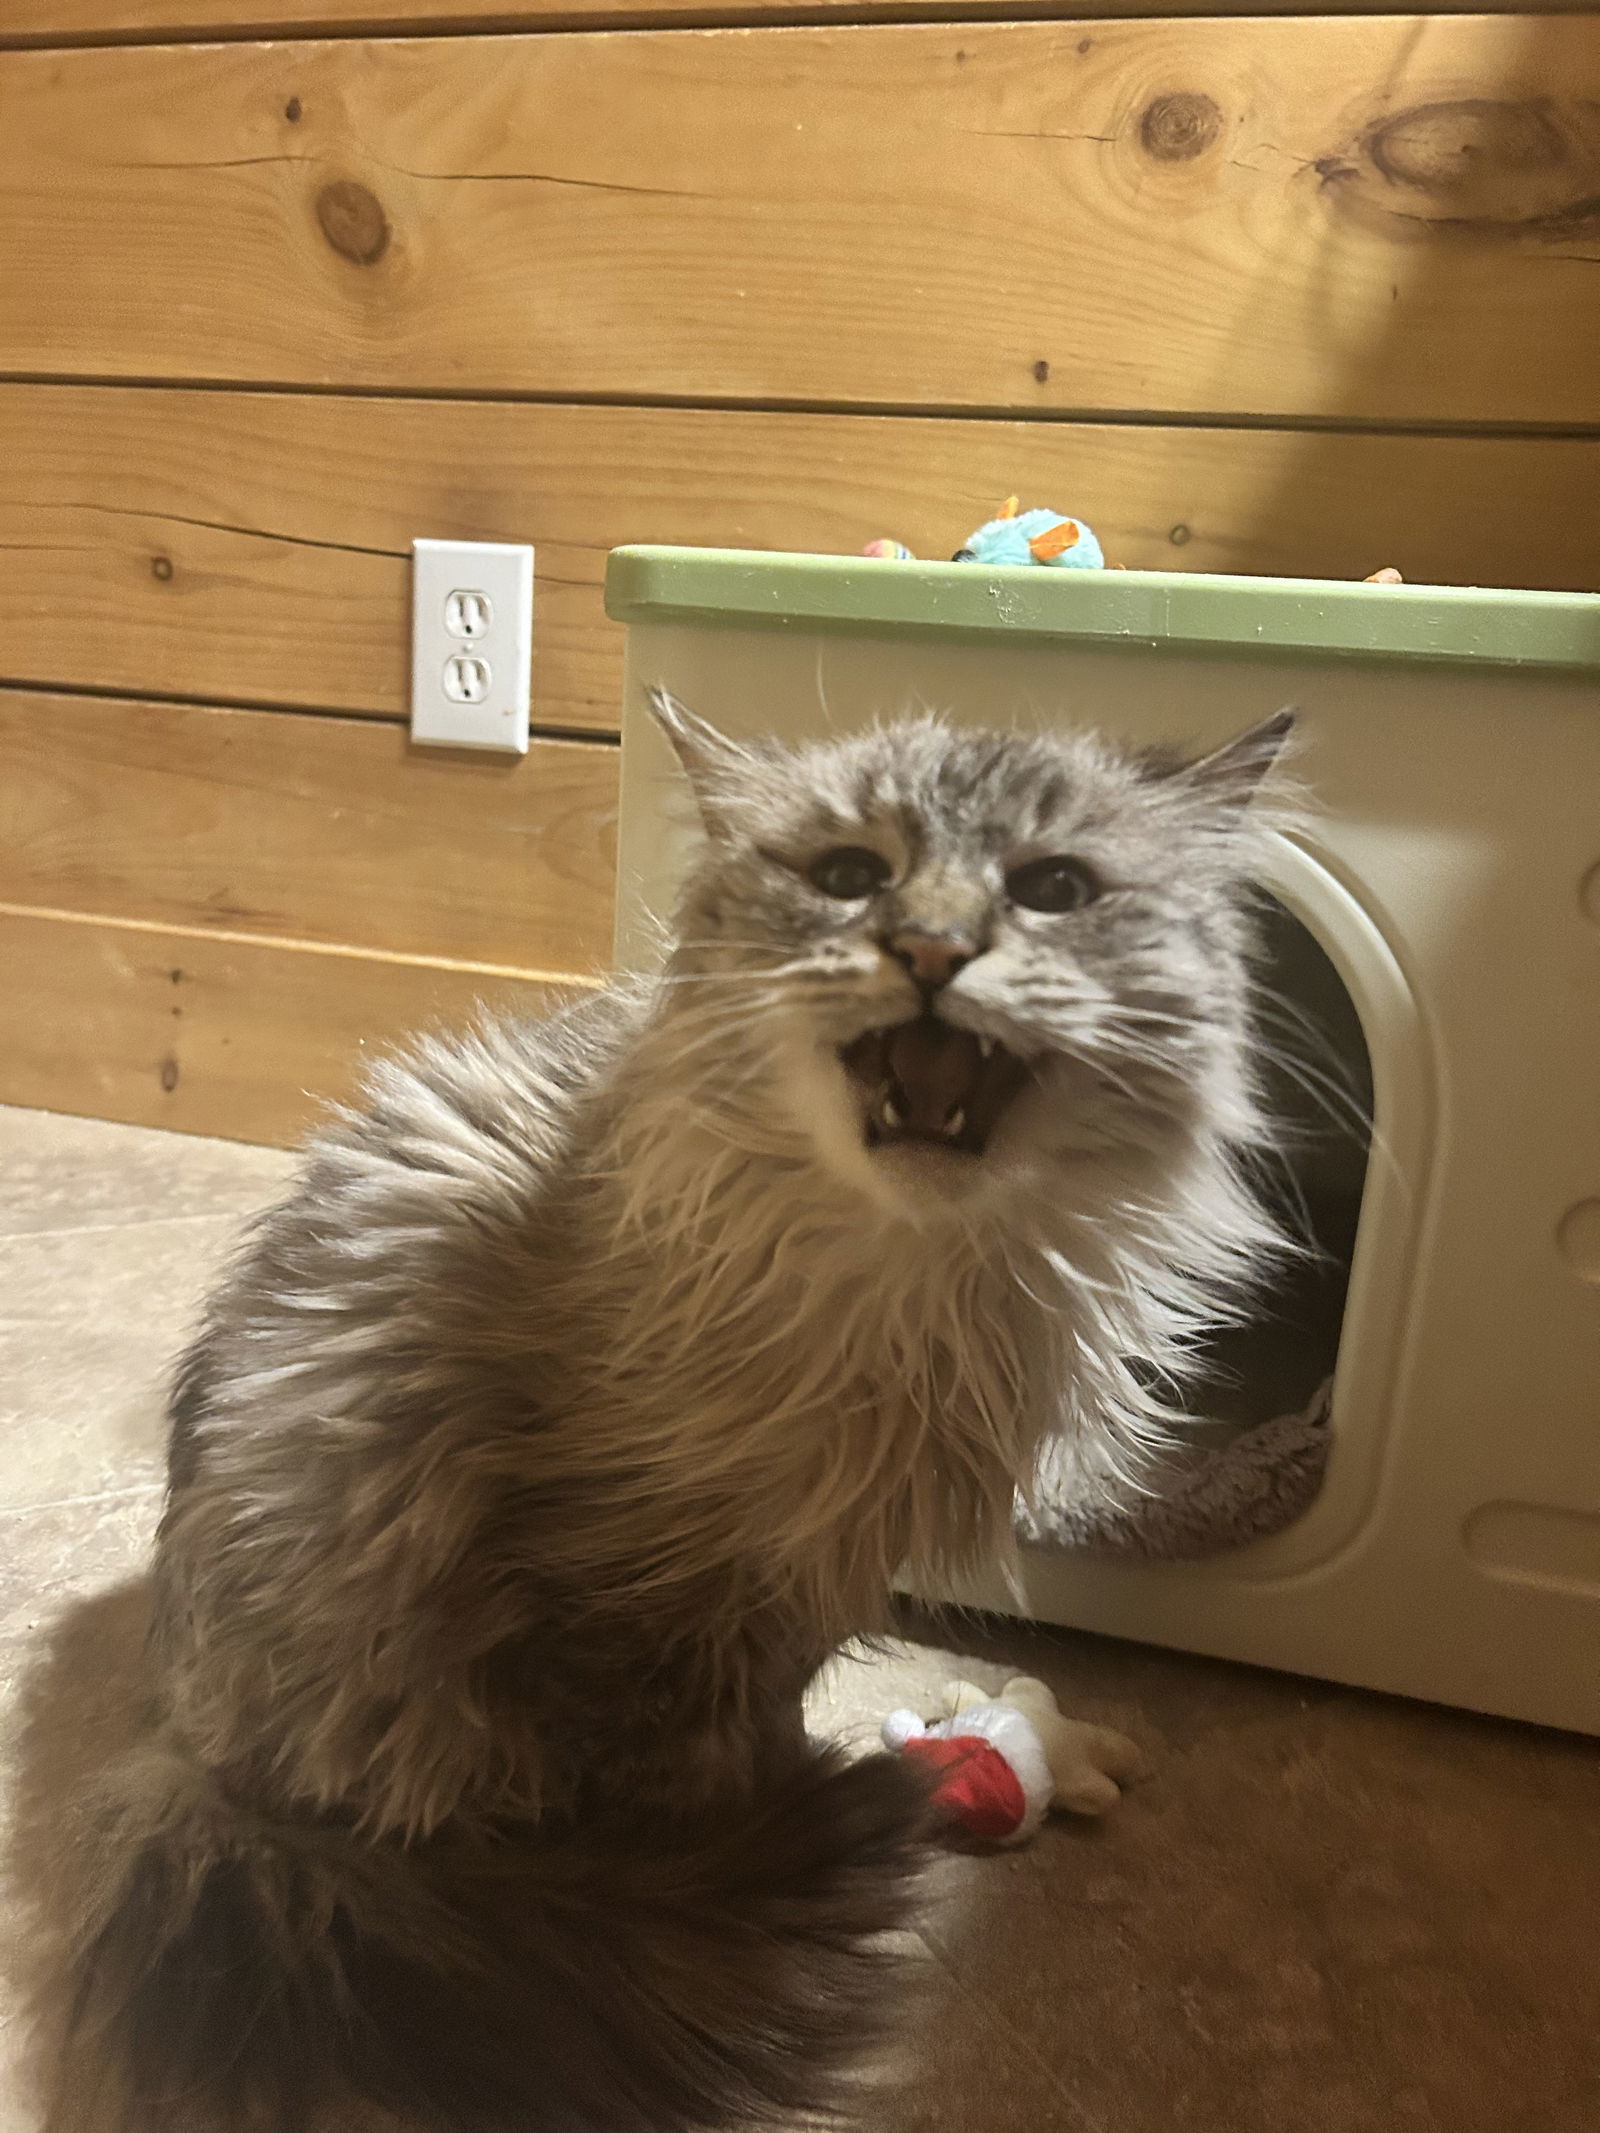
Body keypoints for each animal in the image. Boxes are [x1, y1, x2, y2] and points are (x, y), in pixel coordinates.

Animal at [56, 691, 1297, 2124]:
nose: (931, 948)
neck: (911, 1292)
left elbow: (762, 1703)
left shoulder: (804, 1568)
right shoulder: (624, 1580)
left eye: (1053, 891)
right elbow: (674, 1760)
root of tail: (184, 1757)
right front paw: (751, 1836)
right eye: (849, 875)